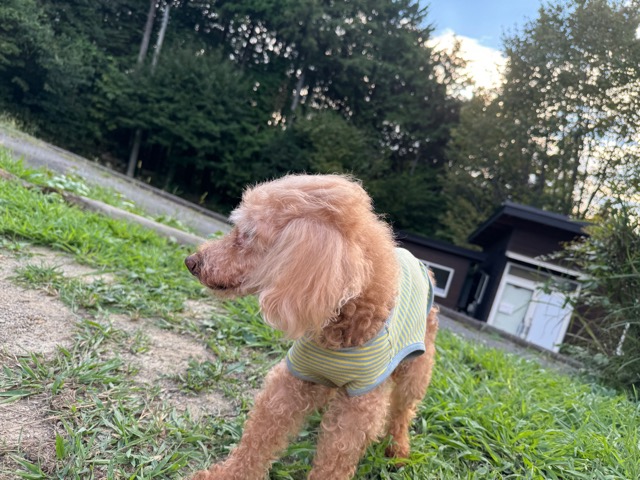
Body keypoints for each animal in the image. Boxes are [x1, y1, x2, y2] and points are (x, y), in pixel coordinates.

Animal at [185, 174, 439, 480]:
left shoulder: (357, 406)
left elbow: (335, 457)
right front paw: (230, 474)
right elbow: (260, 435)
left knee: (403, 410)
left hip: (416, 368)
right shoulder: (296, 377)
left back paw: (398, 449)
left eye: (246, 235)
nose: (191, 262)